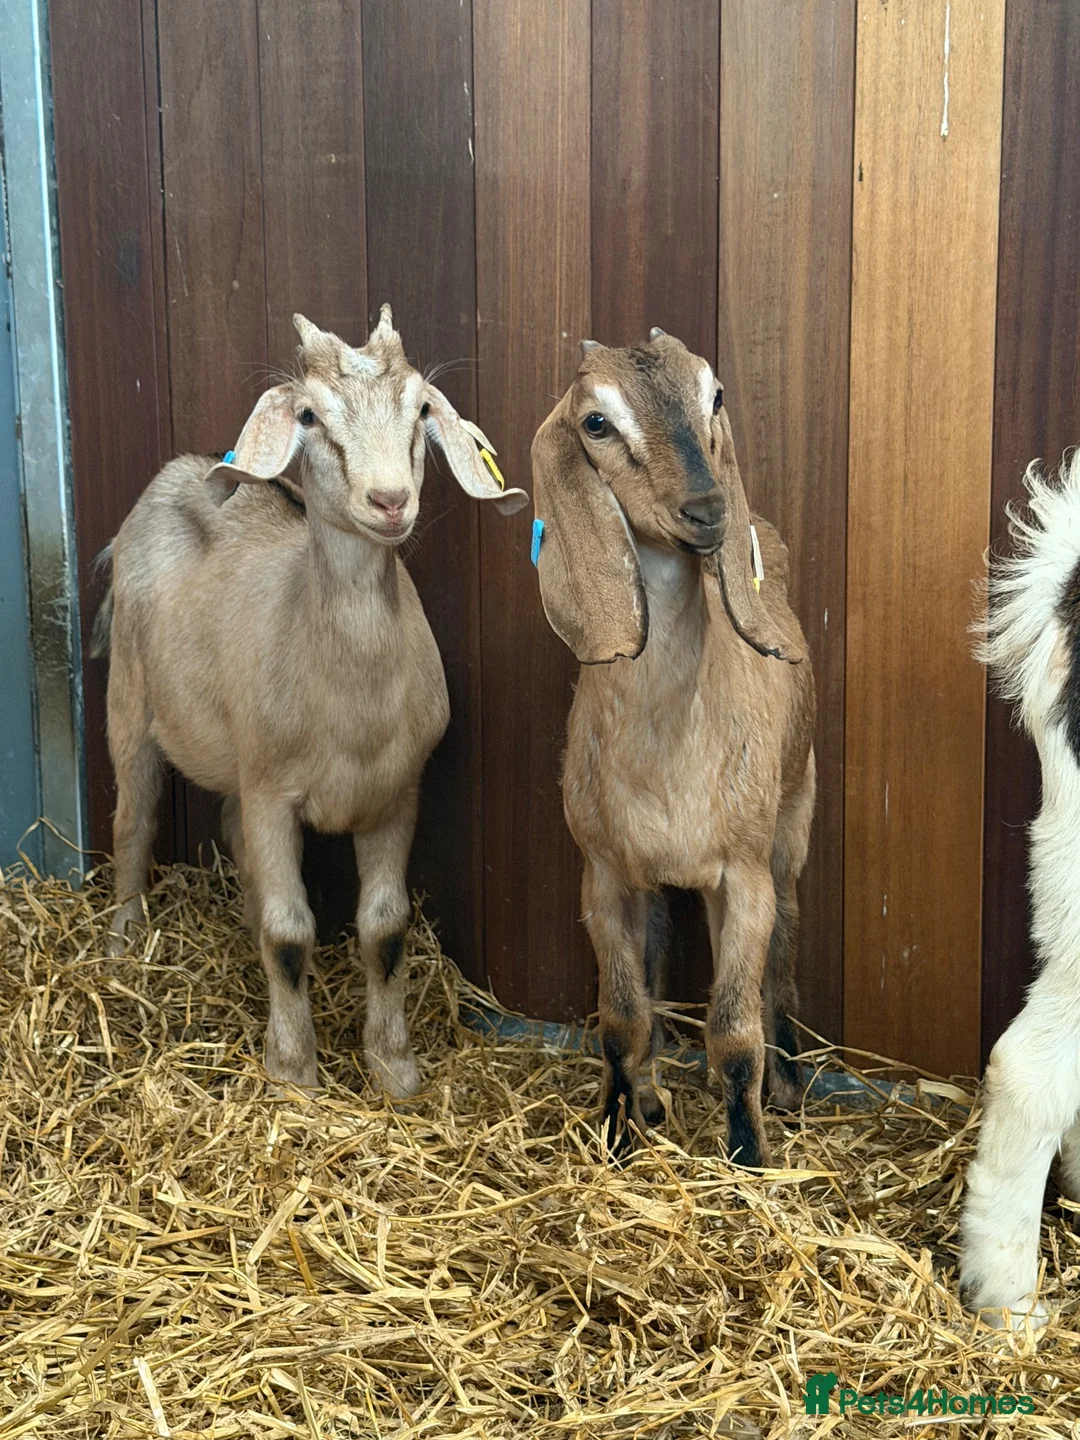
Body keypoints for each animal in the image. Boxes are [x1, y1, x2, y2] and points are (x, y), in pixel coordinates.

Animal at [93, 307, 526, 1096]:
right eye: (309, 416)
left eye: (422, 408)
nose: (390, 501)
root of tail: (181, 470)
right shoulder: (274, 794)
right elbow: (292, 931)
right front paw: (293, 1069)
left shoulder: (396, 793)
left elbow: (385, 926)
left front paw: (394, 1066)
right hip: (131, 702)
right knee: (133, 821)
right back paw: (123, 944)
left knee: (228, 831)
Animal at [530, 329, 816, 1166]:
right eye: (596, 421)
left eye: (713, 395)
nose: (708, 509)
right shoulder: (603, 874)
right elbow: (622, 1017)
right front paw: (618, 1130)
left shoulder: (744, 875)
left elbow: (733, 1029)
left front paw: (747, 1154)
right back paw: (652, 1096)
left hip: (793, 821)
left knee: (783, 956)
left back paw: (789, 1084)